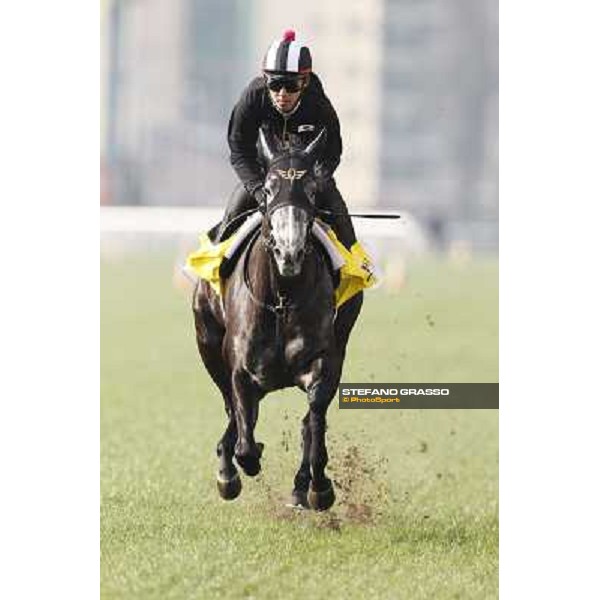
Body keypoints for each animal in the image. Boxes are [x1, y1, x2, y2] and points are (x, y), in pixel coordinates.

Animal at [193, 127, 360, 510]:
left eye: (311, 189)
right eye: (268, 189)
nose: (289, 252)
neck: (282, 298)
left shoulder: (324, 362)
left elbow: (314, 421)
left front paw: (318, 487)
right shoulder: (240, 367)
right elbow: (243, 433)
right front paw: (234, 470)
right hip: (208, 344)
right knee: (233, 410)